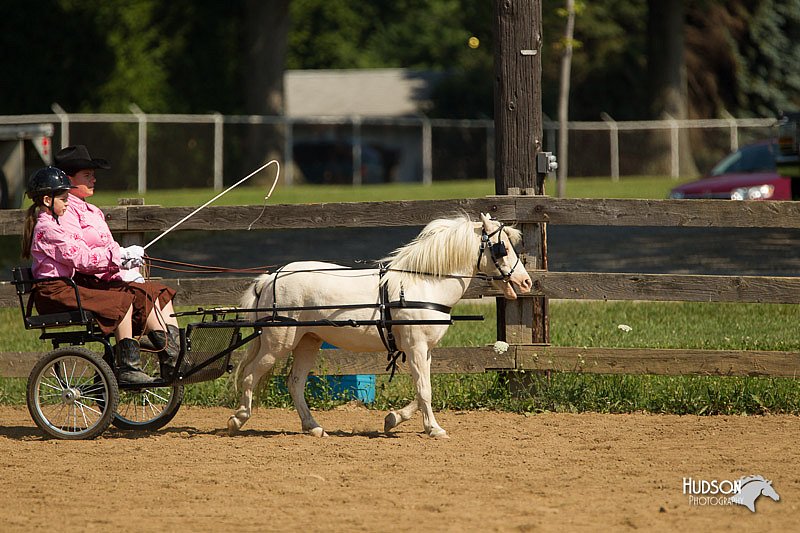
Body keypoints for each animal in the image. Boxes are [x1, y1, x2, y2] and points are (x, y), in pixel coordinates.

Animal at [228, 212, 536, 436]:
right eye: (501, 248)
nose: (526, 282)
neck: (424, 284)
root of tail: (270, 277)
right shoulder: (415, 347)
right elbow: (424, 390)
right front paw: (434, 429)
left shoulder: (424, 350)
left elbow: (422, 389)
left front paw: (393, 419)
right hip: (278, 343)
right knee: (250, 376)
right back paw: (238, 419)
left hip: (308, 342)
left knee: (294, 383)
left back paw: (313, 427)